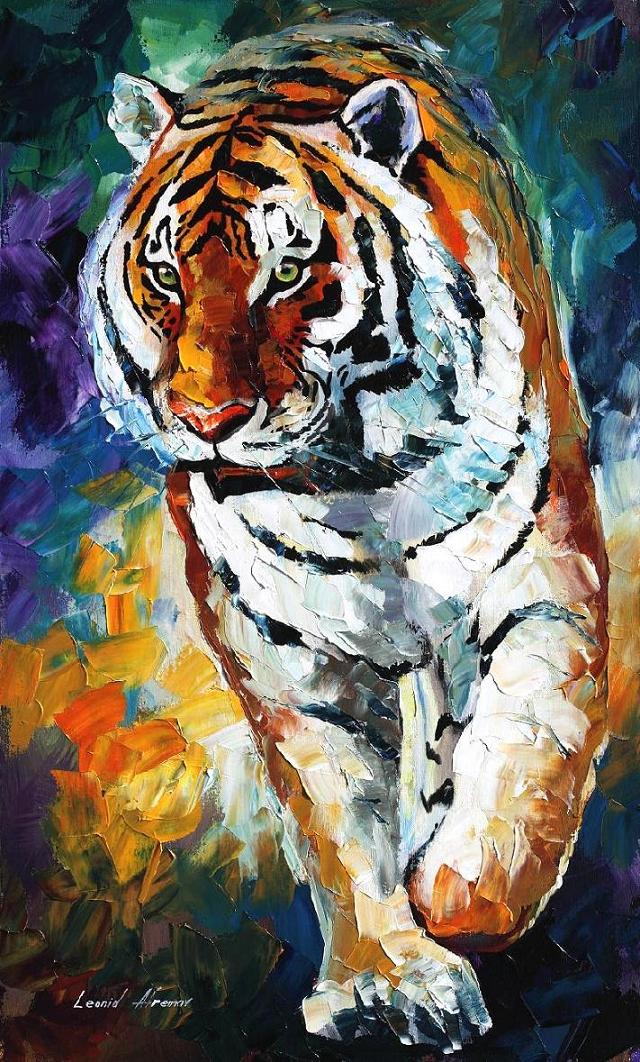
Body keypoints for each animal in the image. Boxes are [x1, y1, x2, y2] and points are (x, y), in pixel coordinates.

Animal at [80, 18, 609, 1051]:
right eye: (163, 276)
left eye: (287, 272)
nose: (206, 419)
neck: (352, 483)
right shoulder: (282, 649)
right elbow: (335, 818)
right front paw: (393, 981)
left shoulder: (544, 576)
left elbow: (529, 750)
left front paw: (455, 896)